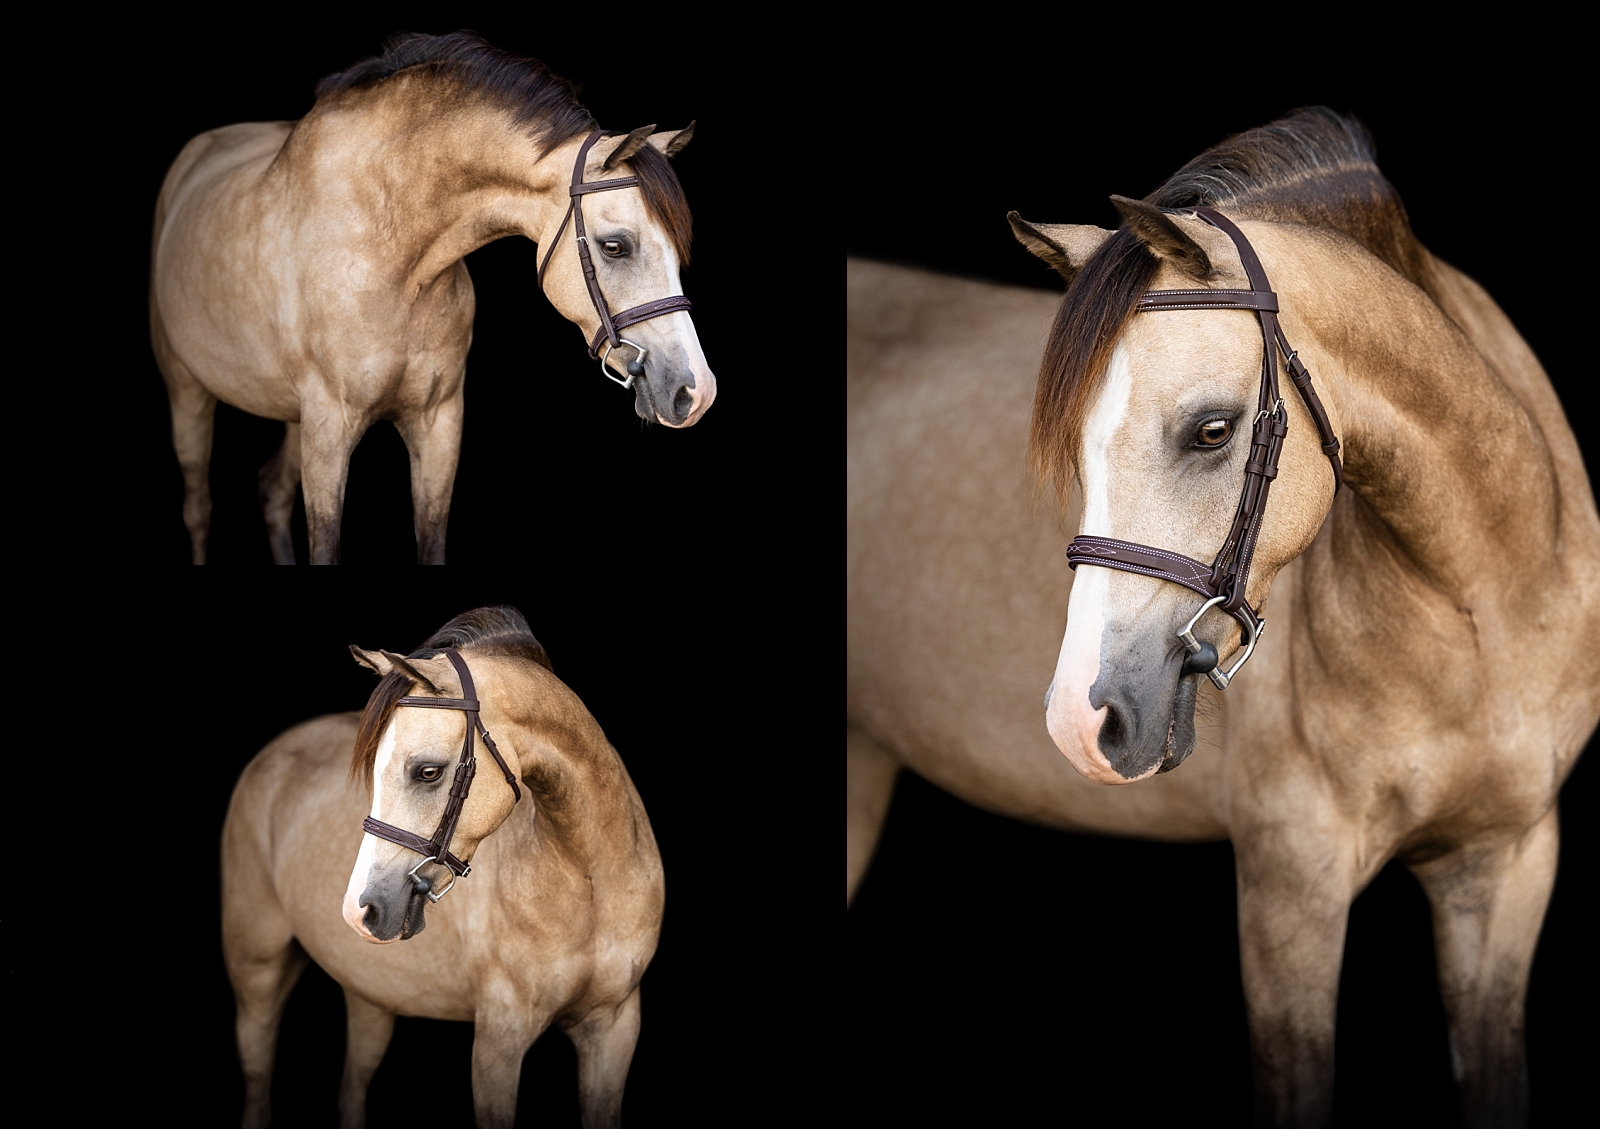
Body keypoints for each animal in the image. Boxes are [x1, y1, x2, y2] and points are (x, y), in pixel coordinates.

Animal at [151, 32, 714, 564]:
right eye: (614, 246)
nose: (697, 392)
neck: (394, 258)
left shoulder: (439, 422)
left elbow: (431, 539)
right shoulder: (328, 429)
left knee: (271, 491)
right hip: (189, 393)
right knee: (198, 507)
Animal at [222, 606, 663, 1128]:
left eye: (427, 772)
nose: (360, 909)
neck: (591, 880)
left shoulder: (614, 1027)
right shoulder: (499, 1038)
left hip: (370, 997)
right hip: (256, 972)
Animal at [847, 108, 1600, 1127]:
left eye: (1211, 430)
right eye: (1073, 445)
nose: (1082, 717)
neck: (1477, 606)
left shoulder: (1507, 864)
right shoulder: (1291, 886)